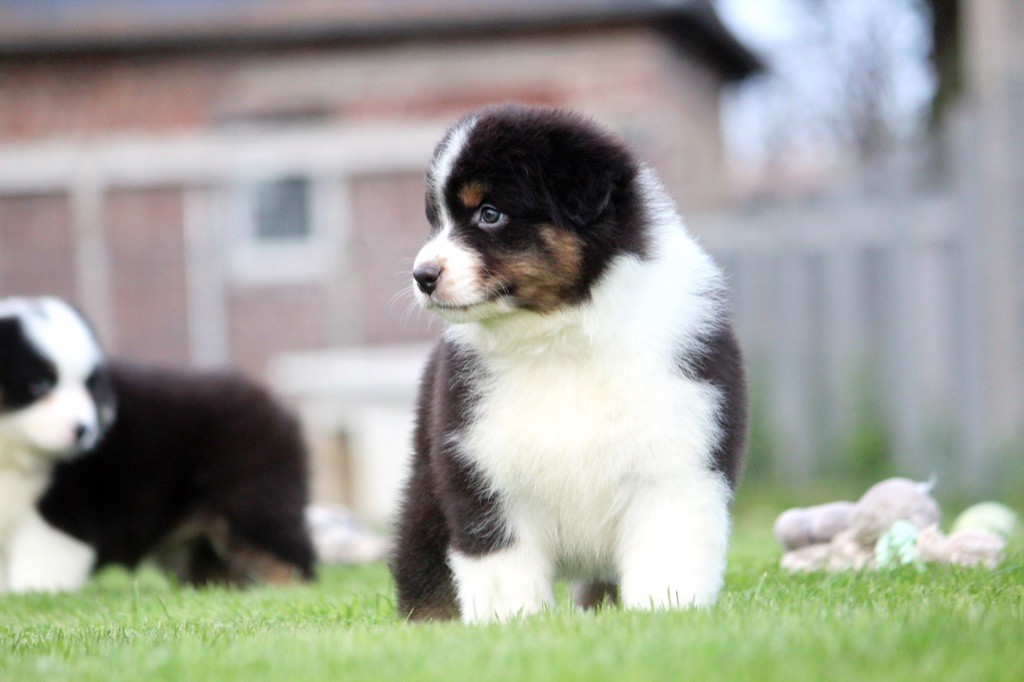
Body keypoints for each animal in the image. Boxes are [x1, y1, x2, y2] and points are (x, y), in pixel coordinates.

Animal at [0, 297, 314, 592]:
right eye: (40, 383)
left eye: (89, 385)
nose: (85, 430)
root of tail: (277, 406)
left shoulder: (64, 512)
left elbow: (41, 565)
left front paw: (30, 593)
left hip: (253, 502)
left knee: (293, 560)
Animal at [390, 104, 747, 623]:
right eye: (435, 221)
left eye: (490, 214)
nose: (422, 275)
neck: (559, 332)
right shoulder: (481, 470)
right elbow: (501, 568)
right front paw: (508, 624)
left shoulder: (676, 462)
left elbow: (666, 555)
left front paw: (662, 613)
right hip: (428, 480)